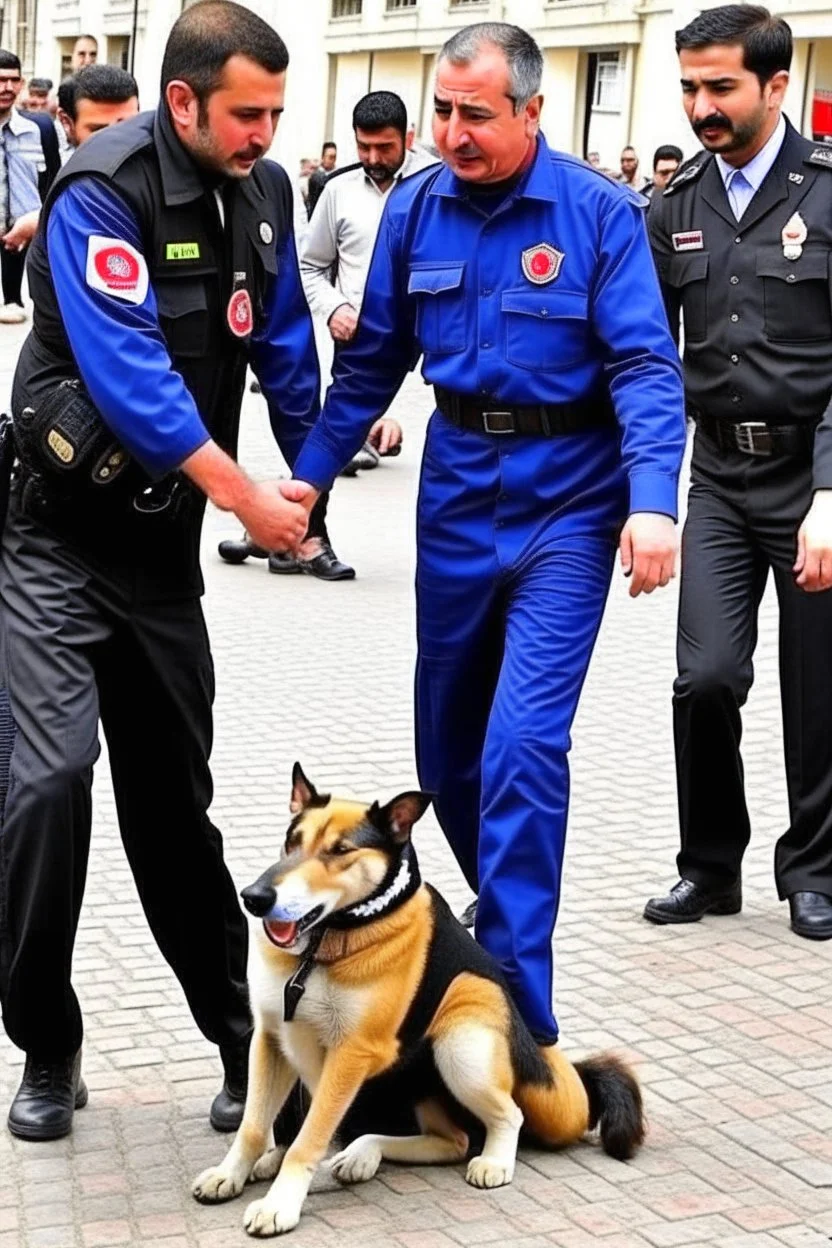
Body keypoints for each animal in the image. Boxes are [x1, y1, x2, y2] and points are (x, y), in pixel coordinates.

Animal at [192, 763, 648, 1233]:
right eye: (291, 840)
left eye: (340, 851)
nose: (255, 898)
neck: (324, 945)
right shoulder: (270, 1038)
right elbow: (253, 1126)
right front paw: (231, 1175)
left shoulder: (350, 1054)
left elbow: (310, 1139)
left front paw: (279, 1204)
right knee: (451, 1140)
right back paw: (356, 1154)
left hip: (460, 1042)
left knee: (503, 1118)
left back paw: (491, 1161)